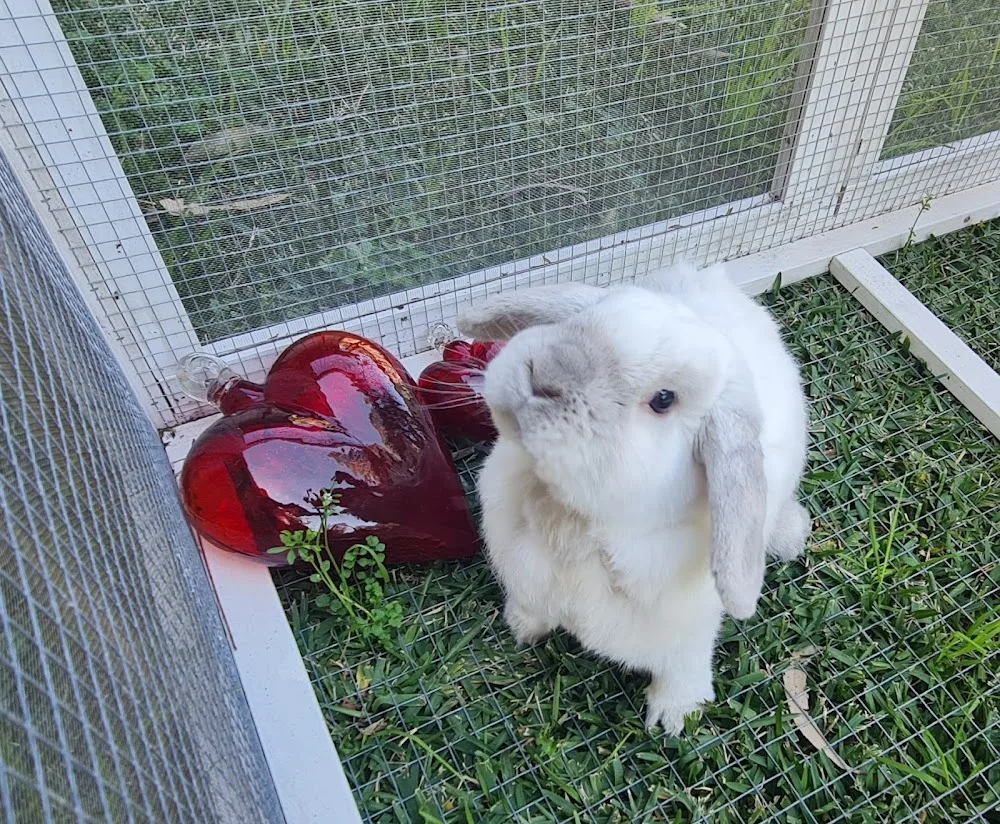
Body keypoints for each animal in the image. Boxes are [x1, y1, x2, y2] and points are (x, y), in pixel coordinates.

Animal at [456, 261, 810, 733]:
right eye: (583, 318)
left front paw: (675, 717)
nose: (541, 377)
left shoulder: (687, 636)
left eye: (663, 399)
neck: (572, 519)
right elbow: (531, 606)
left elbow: (684, 671)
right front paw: (522, 627)